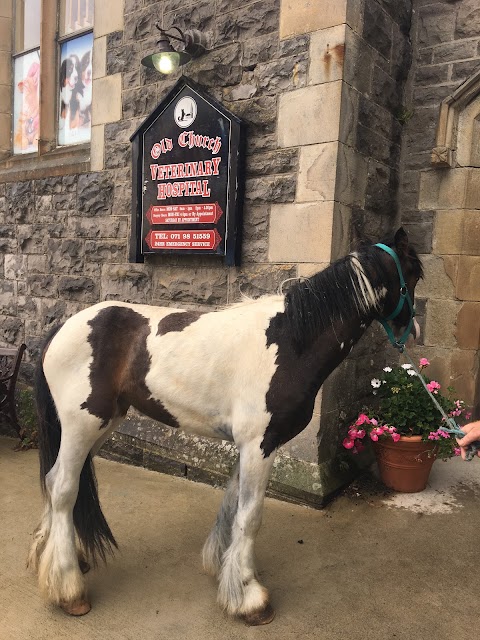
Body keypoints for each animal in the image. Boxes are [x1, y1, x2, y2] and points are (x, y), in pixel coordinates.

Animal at [27, 228, 424, 624]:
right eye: (415, 274)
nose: (415, 331)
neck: (289, 341)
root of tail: (62, 328)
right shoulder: (260, 445)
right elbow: (250, 516)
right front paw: (249, 598)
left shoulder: (248, 448)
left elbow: (234, 506)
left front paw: (224, 570)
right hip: (82, 426)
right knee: (63, 488)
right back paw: (69, 589)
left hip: (101, 426)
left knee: (58, 480)